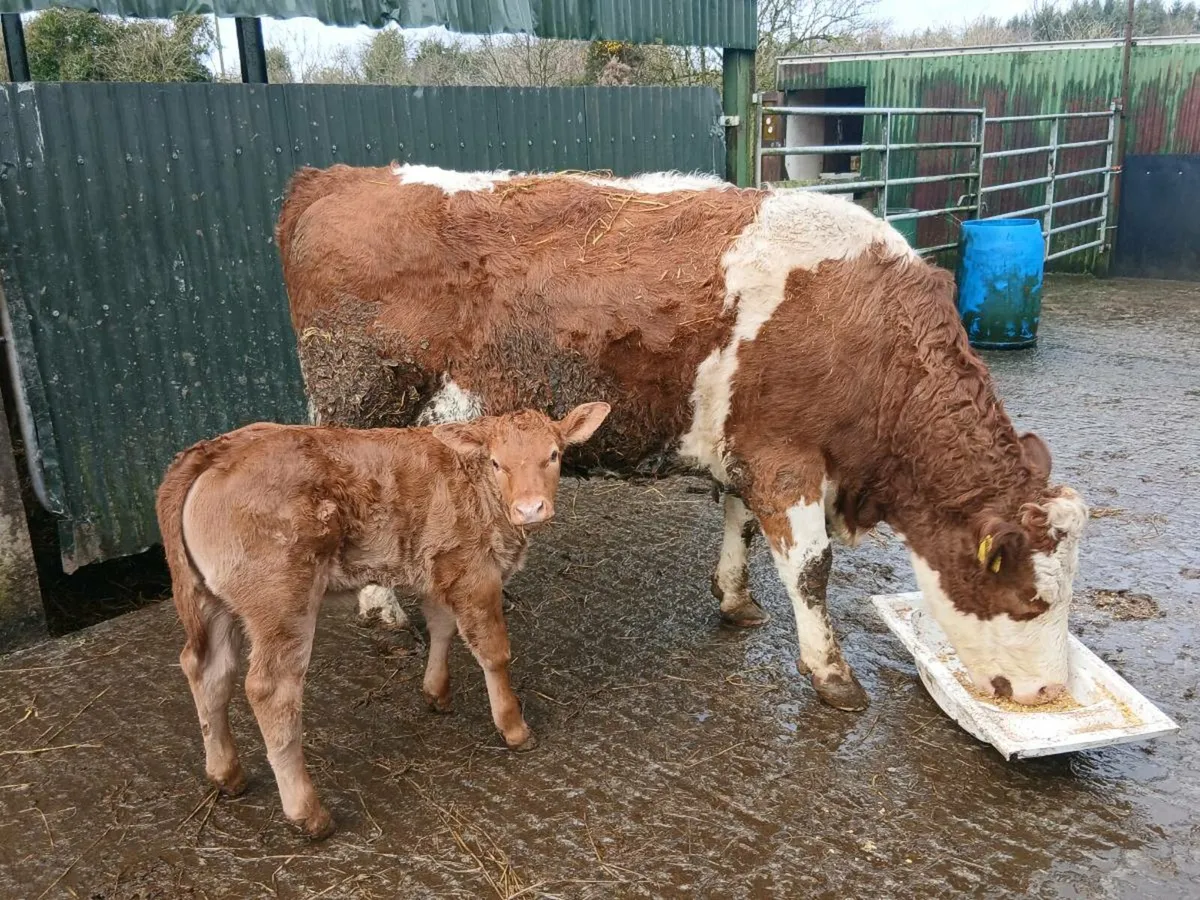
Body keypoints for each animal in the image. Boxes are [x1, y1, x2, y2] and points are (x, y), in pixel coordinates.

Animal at [156, 403, 611, 838]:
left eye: (553, 455)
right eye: (497, 463)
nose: (530, 508)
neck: (477, 487)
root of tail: (214, 450)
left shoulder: (437, 566)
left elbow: (442, 626)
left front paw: (436, 693)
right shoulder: (475, 573)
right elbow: (494, 652)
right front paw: (514, 728)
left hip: (212, 600)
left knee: (207, 669)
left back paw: (226, 773)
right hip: (281, 601)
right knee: (270, 690)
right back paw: (309, 814)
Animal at [275, 162, 1089, 715]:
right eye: (1031, 601)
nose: (1048, 692)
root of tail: (337, 178)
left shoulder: (747, 448)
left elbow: (740, 526)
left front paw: (734, 599)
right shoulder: (787, 457)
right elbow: (812, 569)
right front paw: (830, 673)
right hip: (361, 394)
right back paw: (382, 611)